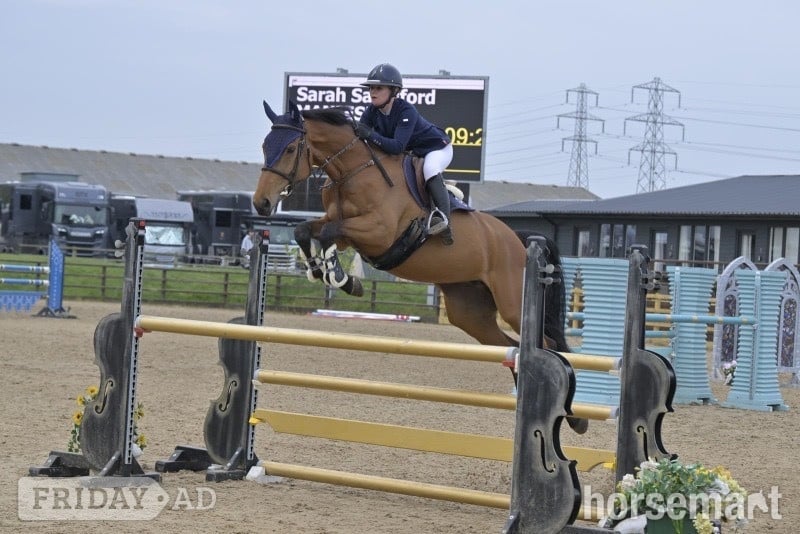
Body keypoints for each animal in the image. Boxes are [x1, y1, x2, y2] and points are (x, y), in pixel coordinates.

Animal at [253, 101, 586, 432]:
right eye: (265, 146)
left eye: (290, 148)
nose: (261, 203)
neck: (352, 173)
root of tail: (517, 239)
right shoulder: (346, 231)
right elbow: (306, 231)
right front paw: (330, 274)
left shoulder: (378, 233)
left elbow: (327, 233)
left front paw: (336, 274)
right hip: (470, 312)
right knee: (509, 346)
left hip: (513, 303)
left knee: (544, 342)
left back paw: (571, 415)